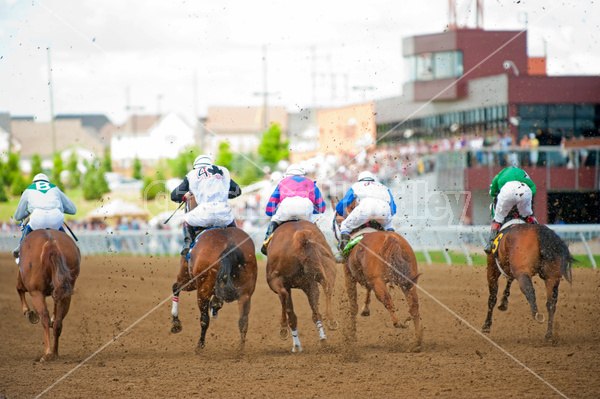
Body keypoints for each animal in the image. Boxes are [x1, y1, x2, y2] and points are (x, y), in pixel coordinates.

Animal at [15, 228, 81, 362]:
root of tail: (51, 245)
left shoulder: (26, 284)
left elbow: (19, 288)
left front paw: (29, 313)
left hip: (36, 292)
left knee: (44, 316)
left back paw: (47, 353)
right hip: (67, 292)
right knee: (58, 322)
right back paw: (55, 352)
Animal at [266, 219, 338, 354]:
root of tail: (301, 236)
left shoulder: (283, 283)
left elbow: (289, 310)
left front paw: (296, 345)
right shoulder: (309, 283)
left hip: (275, 280)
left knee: (284, 297)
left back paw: (285, 330)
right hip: (325, 268)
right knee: (326, 290)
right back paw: (328, 326)